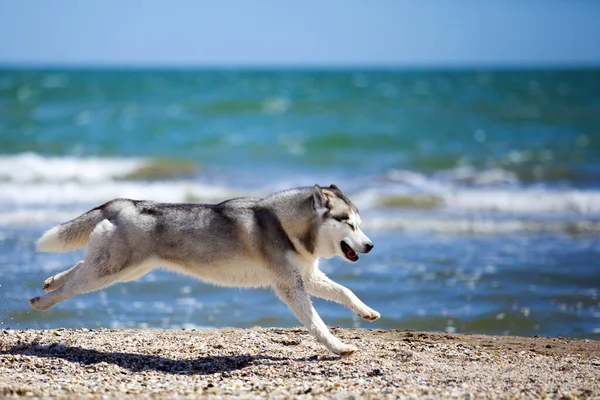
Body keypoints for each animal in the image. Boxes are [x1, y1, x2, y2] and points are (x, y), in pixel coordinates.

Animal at [30, 184, 378, 356]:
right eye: (348, 223)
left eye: (360, 224)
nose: (370, 245)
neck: (284, 225)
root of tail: (125, 202)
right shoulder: (290, 285)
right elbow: (316, 322)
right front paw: (338, 347)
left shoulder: (307, 276)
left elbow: (344, 291)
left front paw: (366, 311)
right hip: (110, 270)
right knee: (74, 286)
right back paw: (42, 300)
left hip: (126, 269)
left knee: (79, 267)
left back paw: (50, 281)